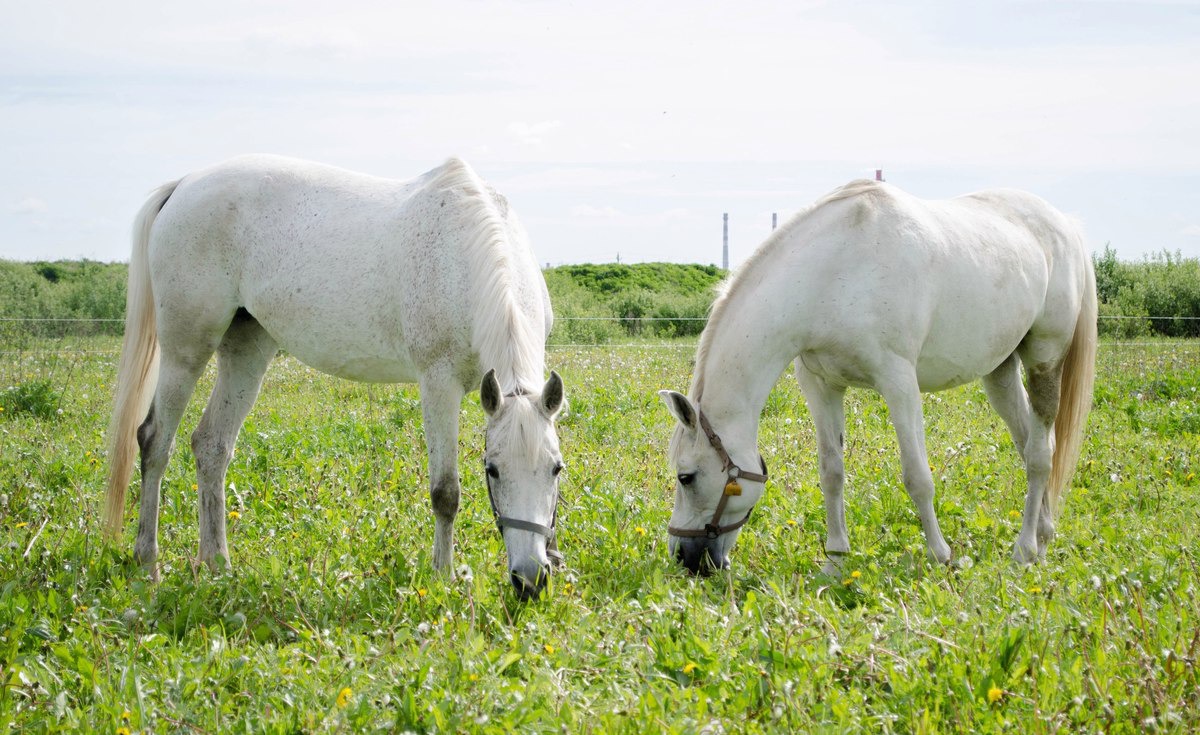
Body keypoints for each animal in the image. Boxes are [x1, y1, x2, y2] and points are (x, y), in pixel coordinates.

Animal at [104, 154, 566, 598]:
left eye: (556, 469)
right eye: (493, 469)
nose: (529, 580)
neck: (464, 251)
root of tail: (183, 185)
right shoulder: (439, 385)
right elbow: (445, 493)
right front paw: (442, 577)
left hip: (247, 352)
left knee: (211, 446)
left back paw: (218, 565)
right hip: (185, 353)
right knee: (154, 442)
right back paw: (148, 563)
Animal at [662, 177, 1099, 574]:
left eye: (686, 477)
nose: (686, 560)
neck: (833, 271)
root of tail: (1064, 224)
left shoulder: (898, 381)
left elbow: (917, 476)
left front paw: (940, 555)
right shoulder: (821, 385)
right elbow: (832, 472)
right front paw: (836, 561)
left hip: (1045, 358)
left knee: (1040, 455)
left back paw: (1024, 550)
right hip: (1000, 373)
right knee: (1030, 442)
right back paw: (1043, 536)